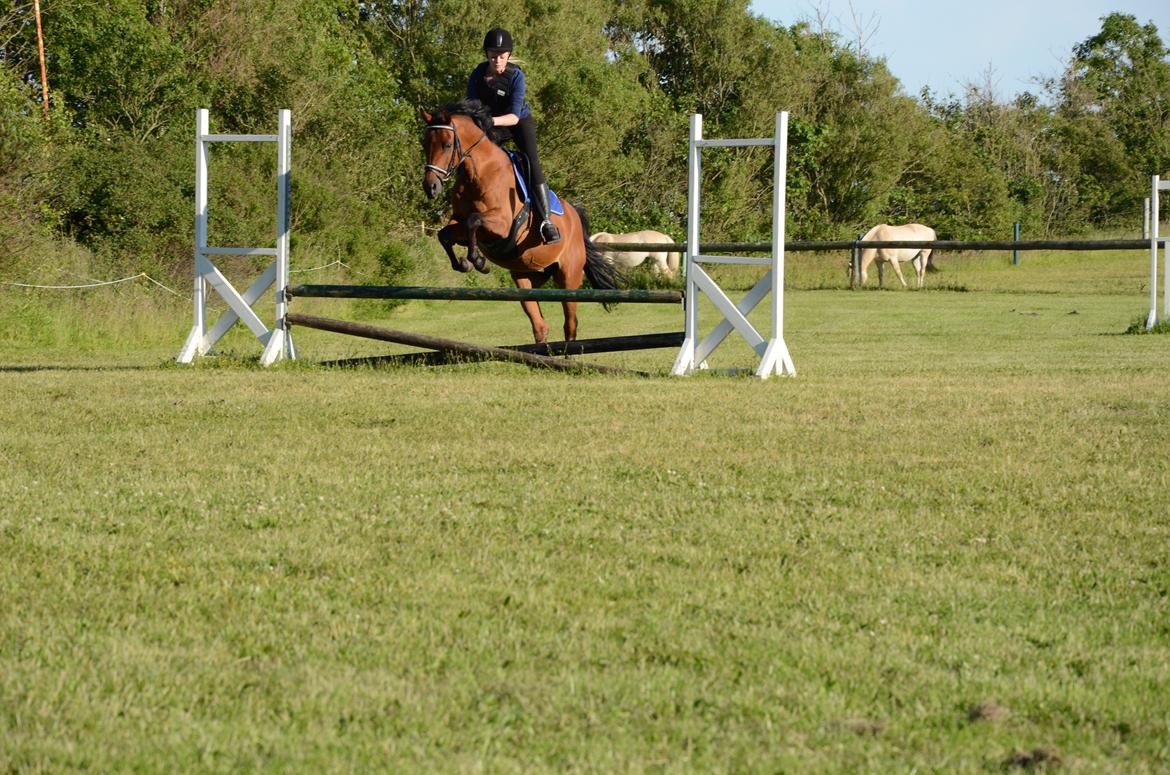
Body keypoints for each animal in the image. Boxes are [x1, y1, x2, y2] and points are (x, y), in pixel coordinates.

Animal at [421, 99, 622, 344]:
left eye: (448, 145)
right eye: (425, 143)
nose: (430, 187)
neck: (477, 172)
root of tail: (575, 215)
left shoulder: (502, 224)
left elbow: (473, 221)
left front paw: (478, 261)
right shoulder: (457, 221)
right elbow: (446, 234)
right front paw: (465, 263)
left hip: (568, 277)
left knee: (570, 323)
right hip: (525, 276)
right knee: (540, 324)